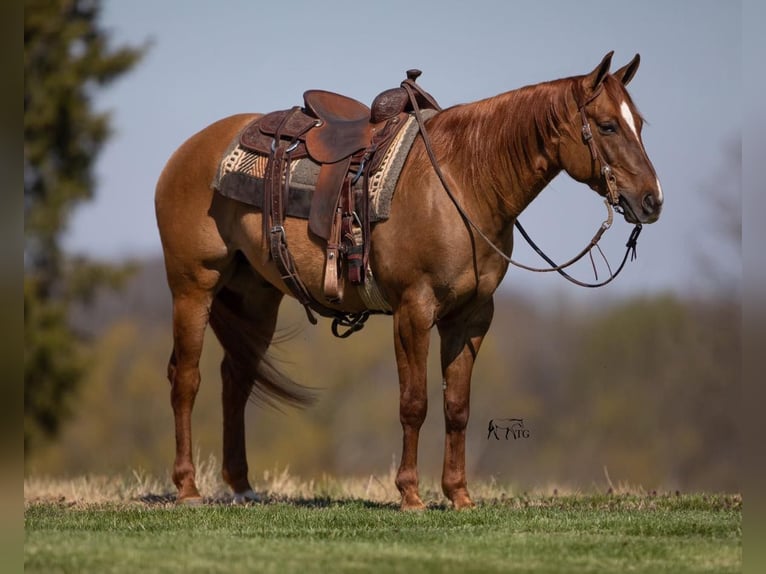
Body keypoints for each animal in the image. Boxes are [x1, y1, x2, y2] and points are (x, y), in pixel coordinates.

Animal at [158, 53, 664, 512]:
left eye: (639, 123)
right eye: (607, 127)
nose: (652, 201)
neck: (462, 182)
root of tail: (187, 151)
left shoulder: (472, 317)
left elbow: (456, 406)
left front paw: (459, 495)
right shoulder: (413, 310)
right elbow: (414, 402)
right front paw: (410, 495)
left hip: (254, 297)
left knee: (235, 378)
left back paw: (242, 487)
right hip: (193, 288)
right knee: (187, 378)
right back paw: (188, 488)